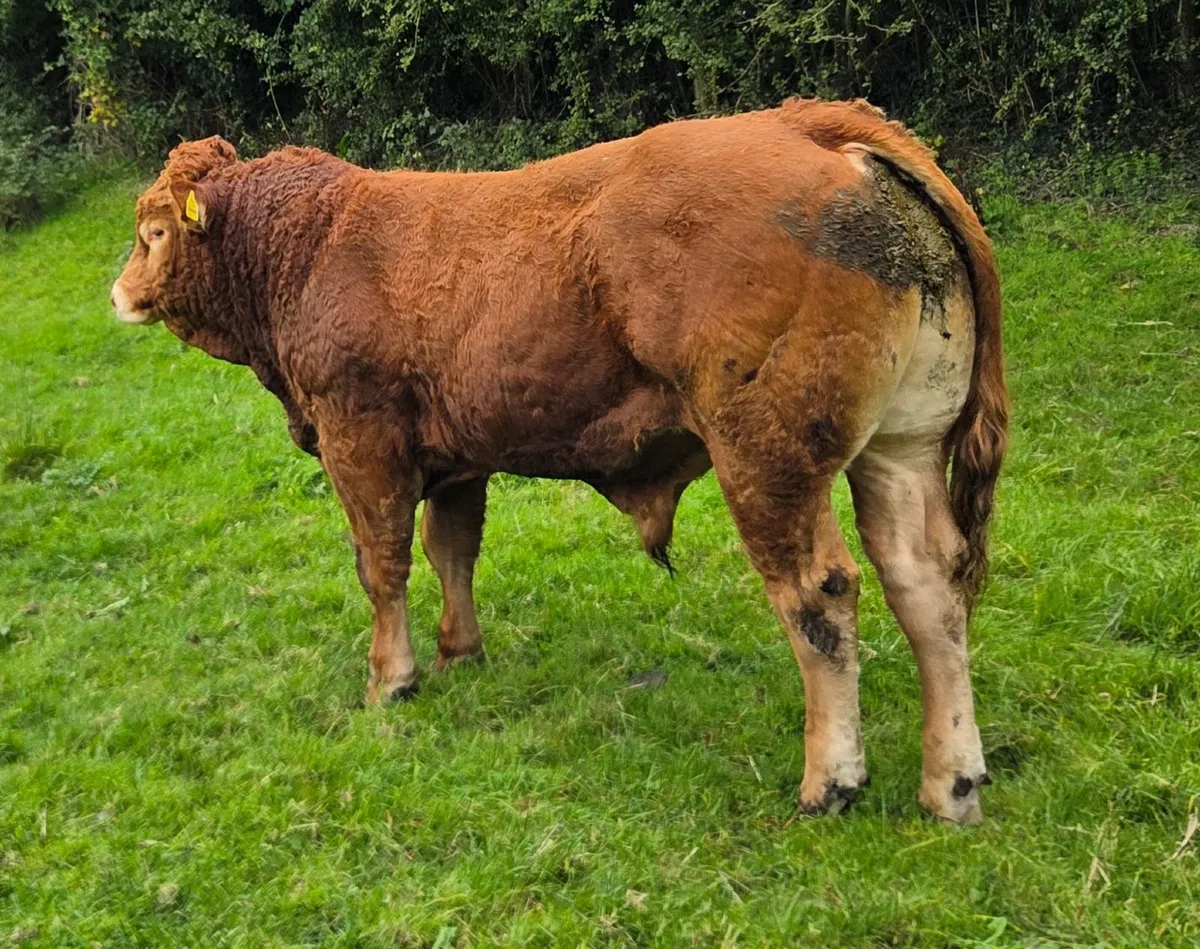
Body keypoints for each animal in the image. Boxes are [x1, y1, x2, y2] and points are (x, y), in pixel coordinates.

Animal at [111, 98, 1007, 823]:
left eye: (151, 233)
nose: (118, 293)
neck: (313, 243)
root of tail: (811, 124)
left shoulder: (357, 435)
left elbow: (383, 562)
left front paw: (391, 678)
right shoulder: (457, 456)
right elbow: (451, 548)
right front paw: (460, 650)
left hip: (767, 459)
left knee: (819, 596)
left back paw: (831, 780)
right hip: (900, 447)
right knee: (926, 585)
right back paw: (952, 782)